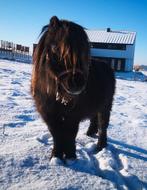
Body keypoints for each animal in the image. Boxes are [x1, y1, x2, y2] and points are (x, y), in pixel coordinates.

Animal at [31, 16, 115, 161]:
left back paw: (100, 146)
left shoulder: (74, 115)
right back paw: (90, 133)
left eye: (84, 51)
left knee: (103, 124)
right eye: (55, 48)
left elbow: (70, 134)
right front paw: (56, 157)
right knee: (94, 118)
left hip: (106, 105)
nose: (77, 83)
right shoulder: (48, 114)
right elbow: (56, 134)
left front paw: (70, 157)